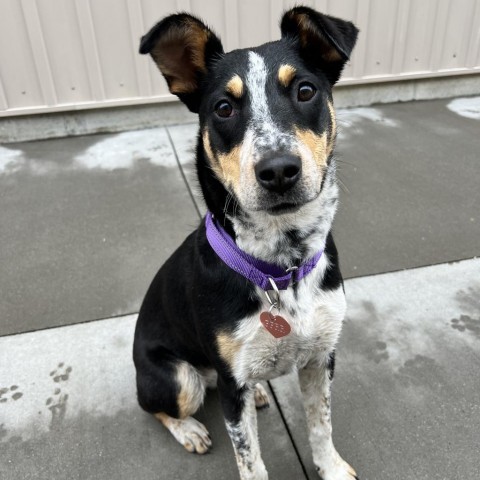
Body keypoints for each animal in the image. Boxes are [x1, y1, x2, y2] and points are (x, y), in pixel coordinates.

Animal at [133, 7, 358, 480]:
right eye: (224, 107)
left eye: (305, 90)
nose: (278, 170)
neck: (281, 266)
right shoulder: (231, 389)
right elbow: (250, 459)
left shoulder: (321, 359)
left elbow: (321, 424)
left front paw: (331, 467)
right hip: (178, 378)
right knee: (158, 407)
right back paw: (190, 430)